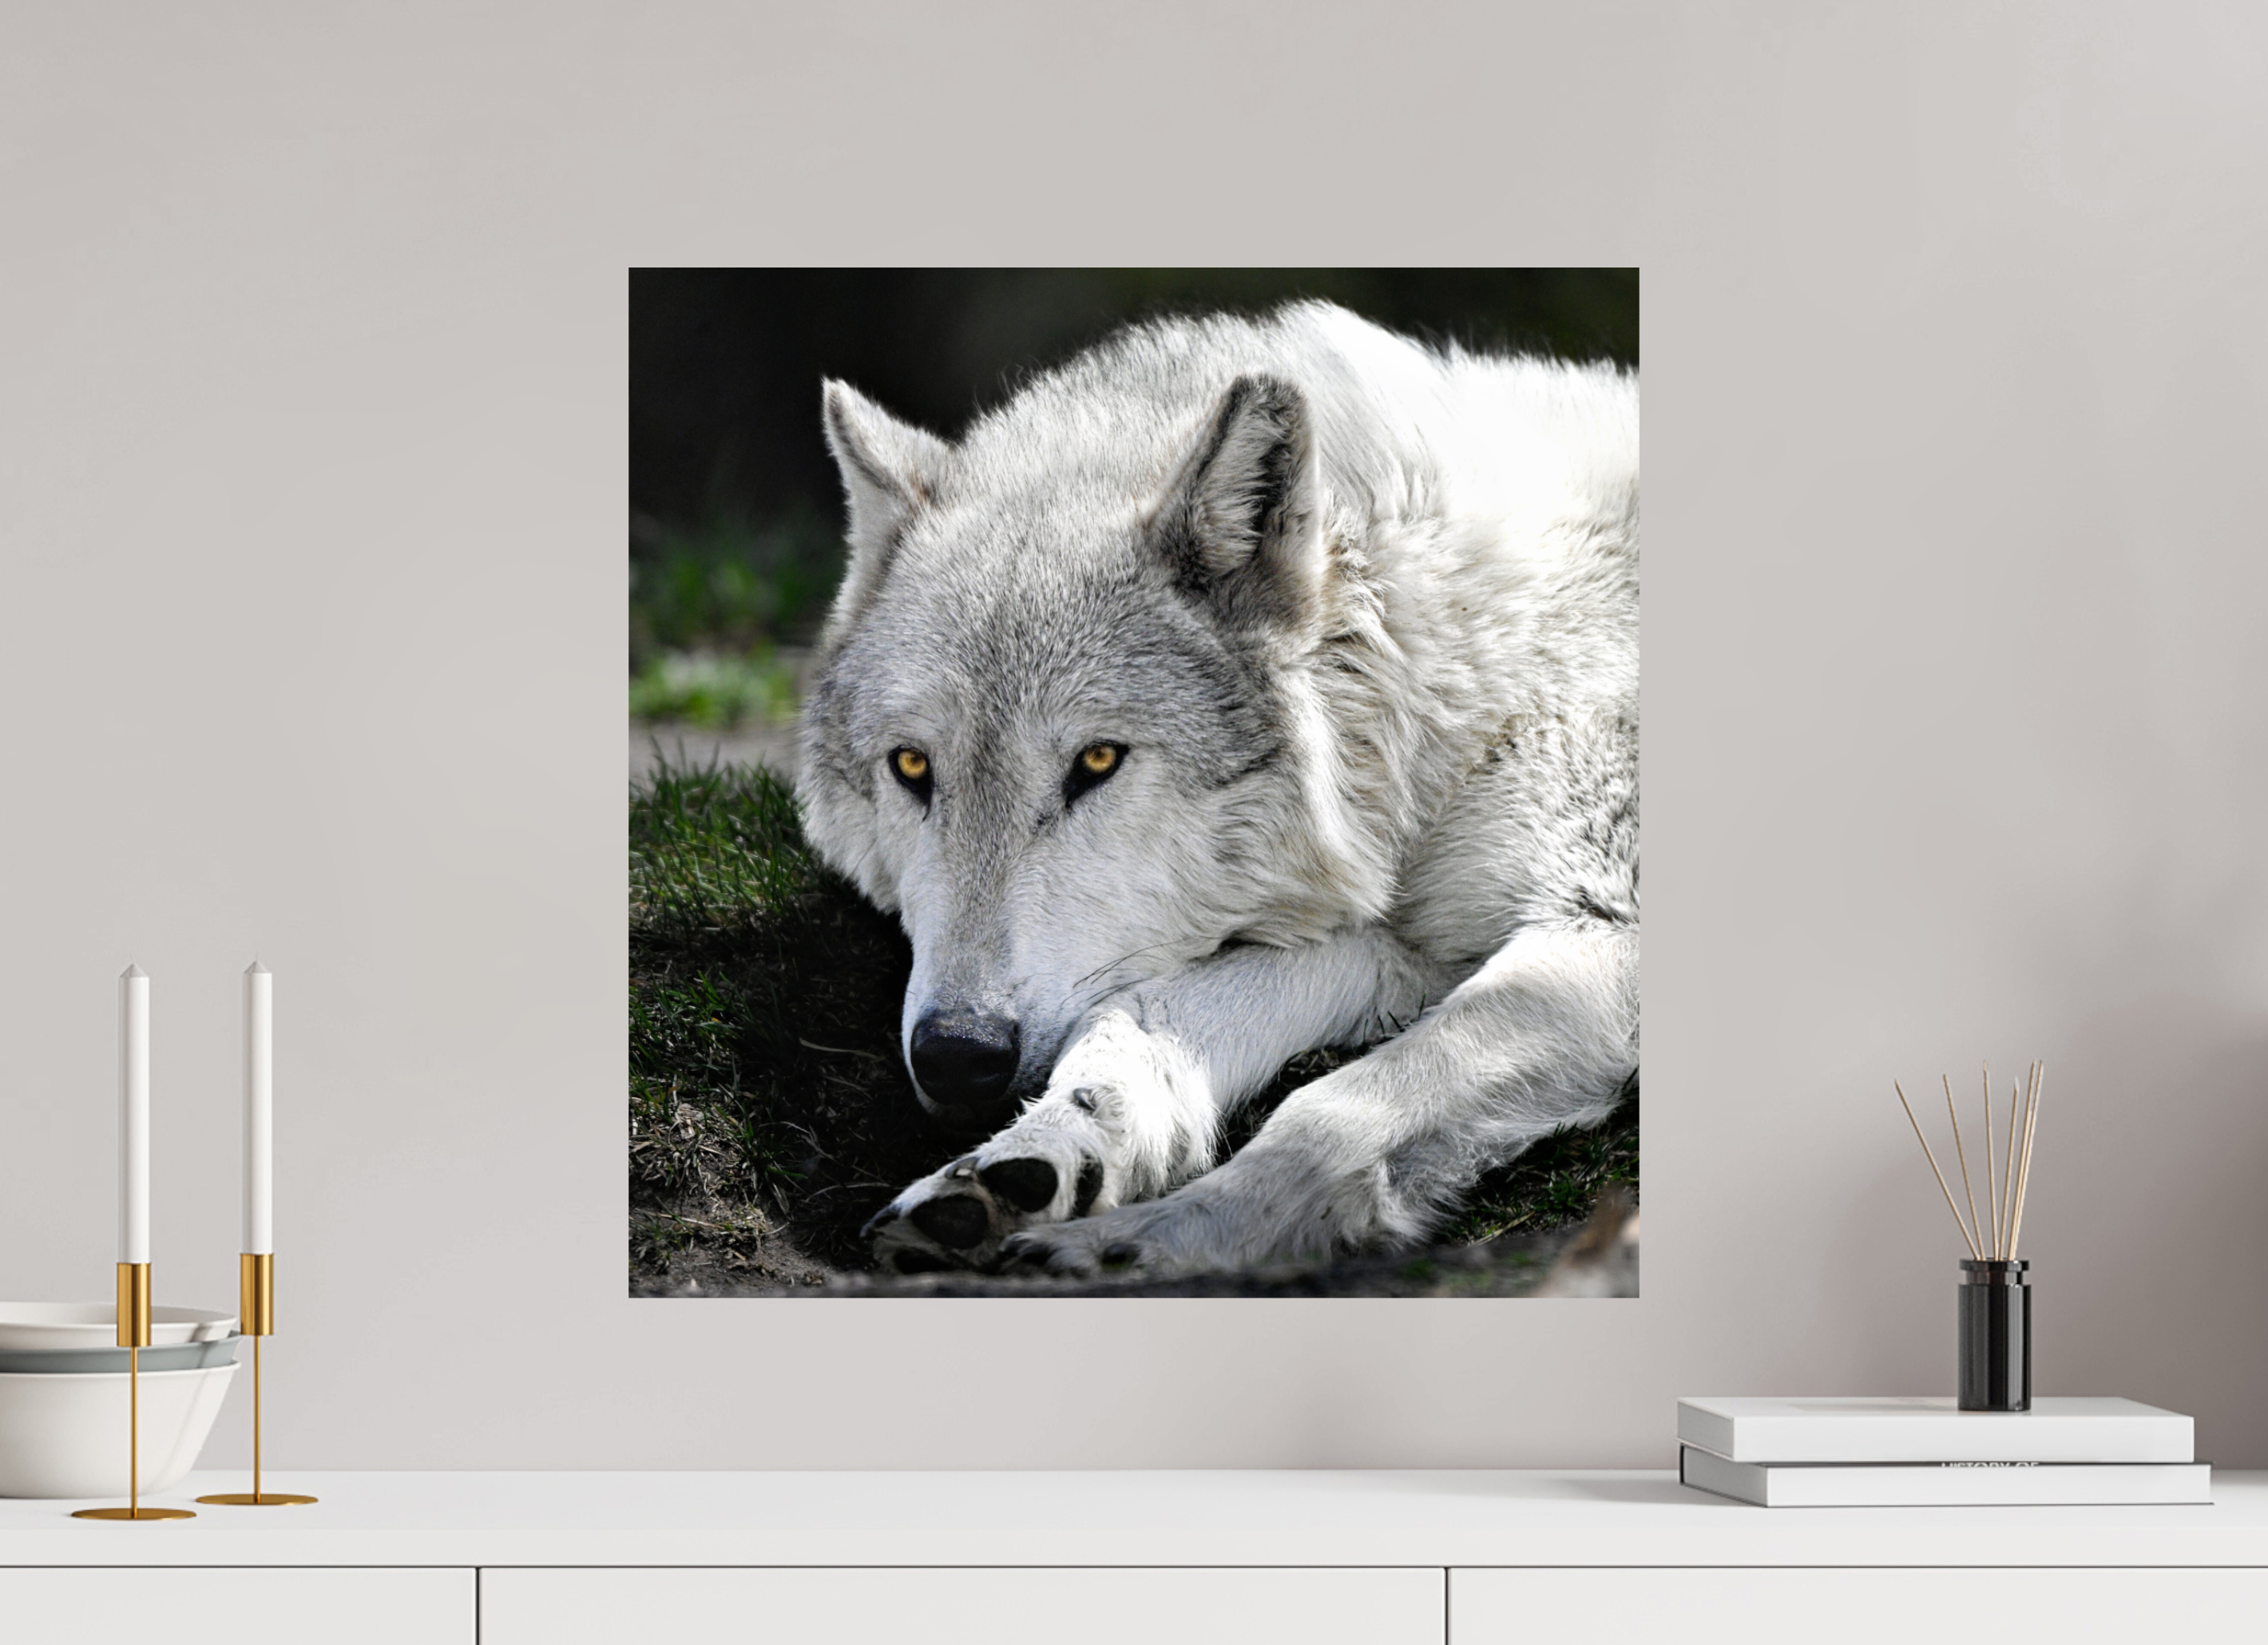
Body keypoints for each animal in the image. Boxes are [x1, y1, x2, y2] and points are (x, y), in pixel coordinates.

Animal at [795, 300, 1638, 1278]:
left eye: (1097, 761)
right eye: (912, 768)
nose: (955, 1056)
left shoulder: (1603, 929)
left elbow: (1333, 1107)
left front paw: (1146, 1245)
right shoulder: (1403, 947)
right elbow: (1135, 1015)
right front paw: (1039, 1157)